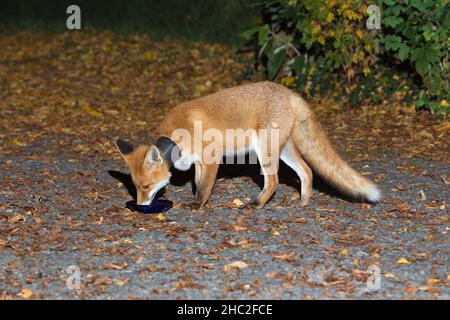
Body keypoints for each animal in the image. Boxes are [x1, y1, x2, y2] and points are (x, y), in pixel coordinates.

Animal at [115, 81, 380, 209]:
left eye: (146, 186)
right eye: (135, 187)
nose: (140, 205)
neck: (177, 137)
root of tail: (290, 93)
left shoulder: (212, 159)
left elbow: (203, 188)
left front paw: (198, 206)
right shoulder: (199, 163)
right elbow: (198, 183)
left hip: (265, 151)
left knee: (273, 181)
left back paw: (257, 204)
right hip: (282, 150)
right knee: (307, 171)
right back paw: (304, 202)